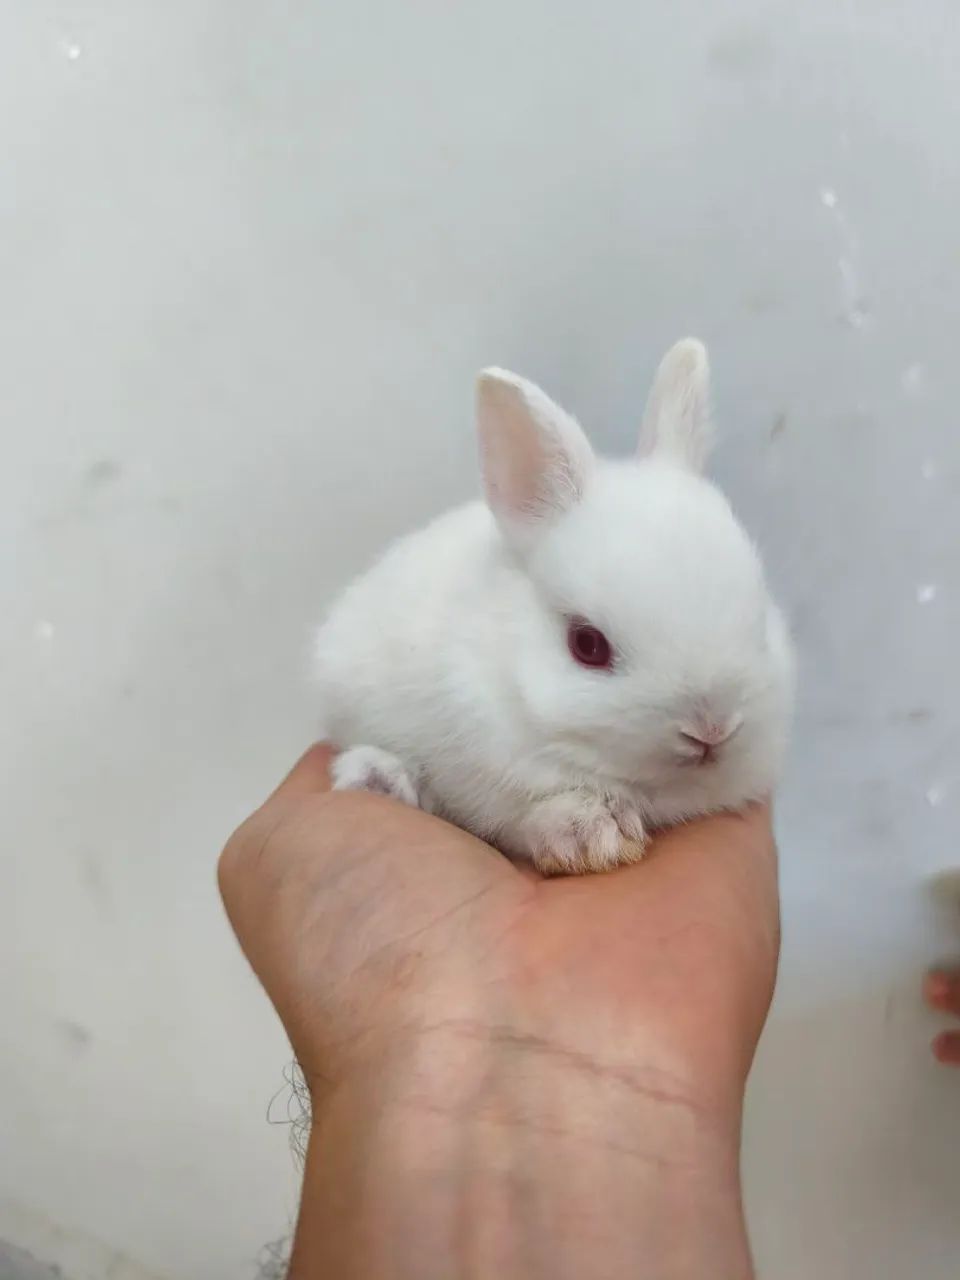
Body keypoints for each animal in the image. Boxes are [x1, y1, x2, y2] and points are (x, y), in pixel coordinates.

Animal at [313, 338, 795, 875]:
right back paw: (375, 776)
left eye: (759, 618)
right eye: (587, 645)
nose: (711, 730)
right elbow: (525, 815)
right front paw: (590, 835)